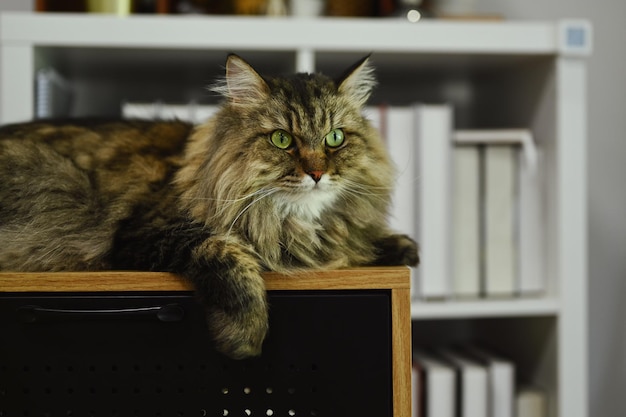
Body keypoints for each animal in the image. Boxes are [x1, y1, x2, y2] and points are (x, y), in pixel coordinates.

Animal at [2, 54, 420, 358]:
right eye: (282, 139)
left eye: (335, 138)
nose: (317, 173)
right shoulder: (149, 232)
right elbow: (228, 255)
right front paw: (245, 338)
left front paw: (400, 249)